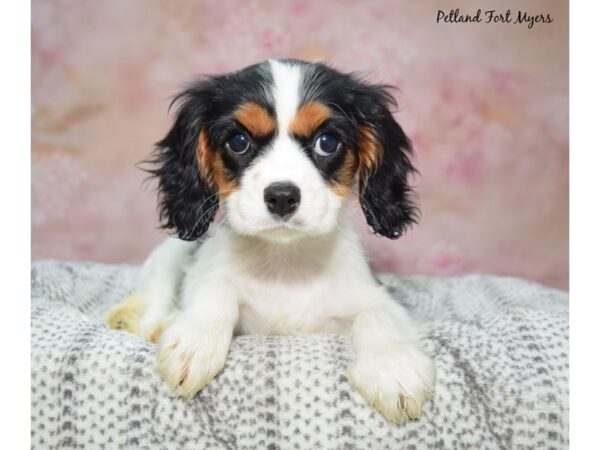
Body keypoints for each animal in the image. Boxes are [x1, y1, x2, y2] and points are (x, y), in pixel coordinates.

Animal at [106, 59, 436, 422]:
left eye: (327, 142)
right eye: (238, 141)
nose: (281, 197)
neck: (284, 260)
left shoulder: (372, 294)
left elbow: (379, 315)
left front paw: (393, 368)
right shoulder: (209, 275)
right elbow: (214, 290)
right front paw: (195, 340)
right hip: (169, 254)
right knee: (154, 297)